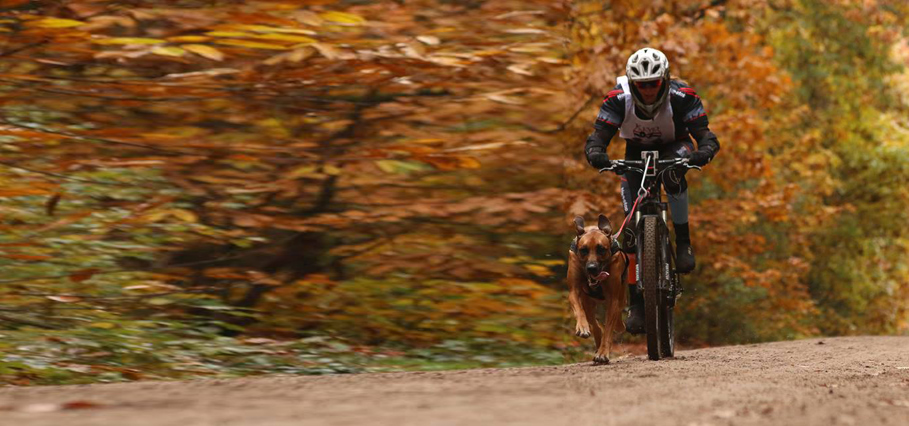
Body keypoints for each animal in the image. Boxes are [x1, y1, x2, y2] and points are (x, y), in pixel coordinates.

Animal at [564, 215, 628, 364]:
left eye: (601, 249)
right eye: (583, 250)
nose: (591, 268)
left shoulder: (613, 299)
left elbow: (608, 330)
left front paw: (603, 353)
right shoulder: (574, 291)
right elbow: (579, 310)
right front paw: (582, 327)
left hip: (622, 297)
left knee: (617, 315)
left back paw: (618, 327)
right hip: (588, 302)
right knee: (595, 324)